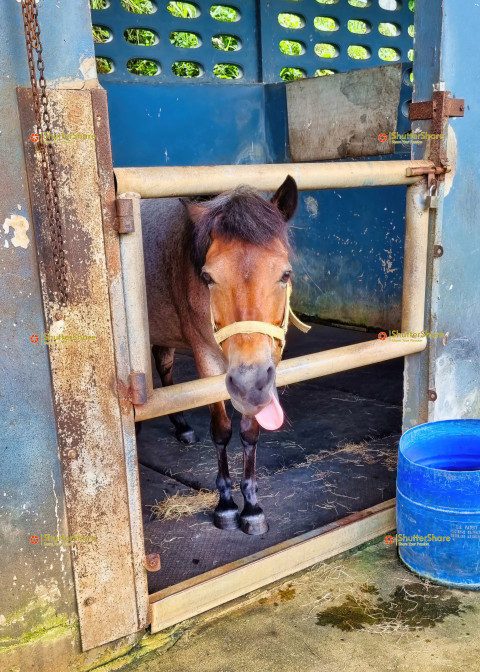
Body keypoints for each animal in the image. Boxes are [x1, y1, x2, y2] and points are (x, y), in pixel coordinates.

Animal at [141, 175, 307, 535]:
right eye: (207, 277)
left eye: (285, 274)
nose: (247, 384)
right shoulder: (207, 359)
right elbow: (221, 430)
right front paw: (227, 505)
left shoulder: (266, 366)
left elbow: (249, 432)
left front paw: (253, 508)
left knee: (165, 365)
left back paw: (182, 427)